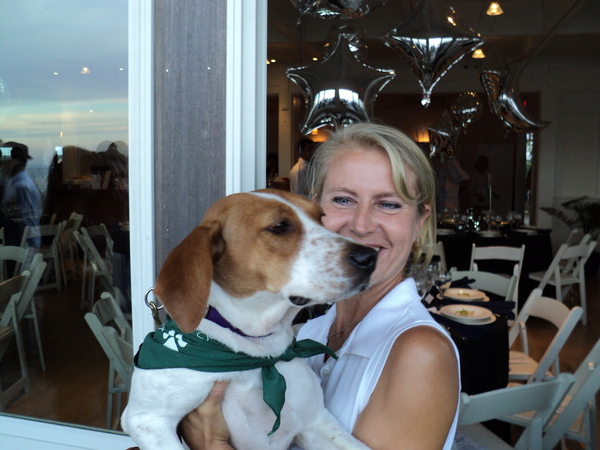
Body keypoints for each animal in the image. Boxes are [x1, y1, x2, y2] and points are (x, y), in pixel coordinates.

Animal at [120, 188, 376, 448]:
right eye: (280, 226)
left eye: (321, 217)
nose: (369, 256)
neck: (258, 352)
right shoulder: (147, 419)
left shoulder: (316, 421)